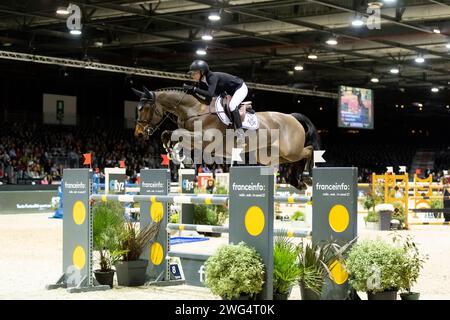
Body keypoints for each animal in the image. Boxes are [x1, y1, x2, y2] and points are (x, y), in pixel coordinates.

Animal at [133, 87, 320, 175]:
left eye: (145, 108)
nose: (139, 133)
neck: (193, 109)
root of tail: (292, 117)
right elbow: (170, 134)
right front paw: (177, 156)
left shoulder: (204, 138)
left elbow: (175, 133)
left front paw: (178, 156)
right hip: (269, 153)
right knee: (280, 160)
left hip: (291, 150)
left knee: (308, 150)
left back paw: (306, 173)